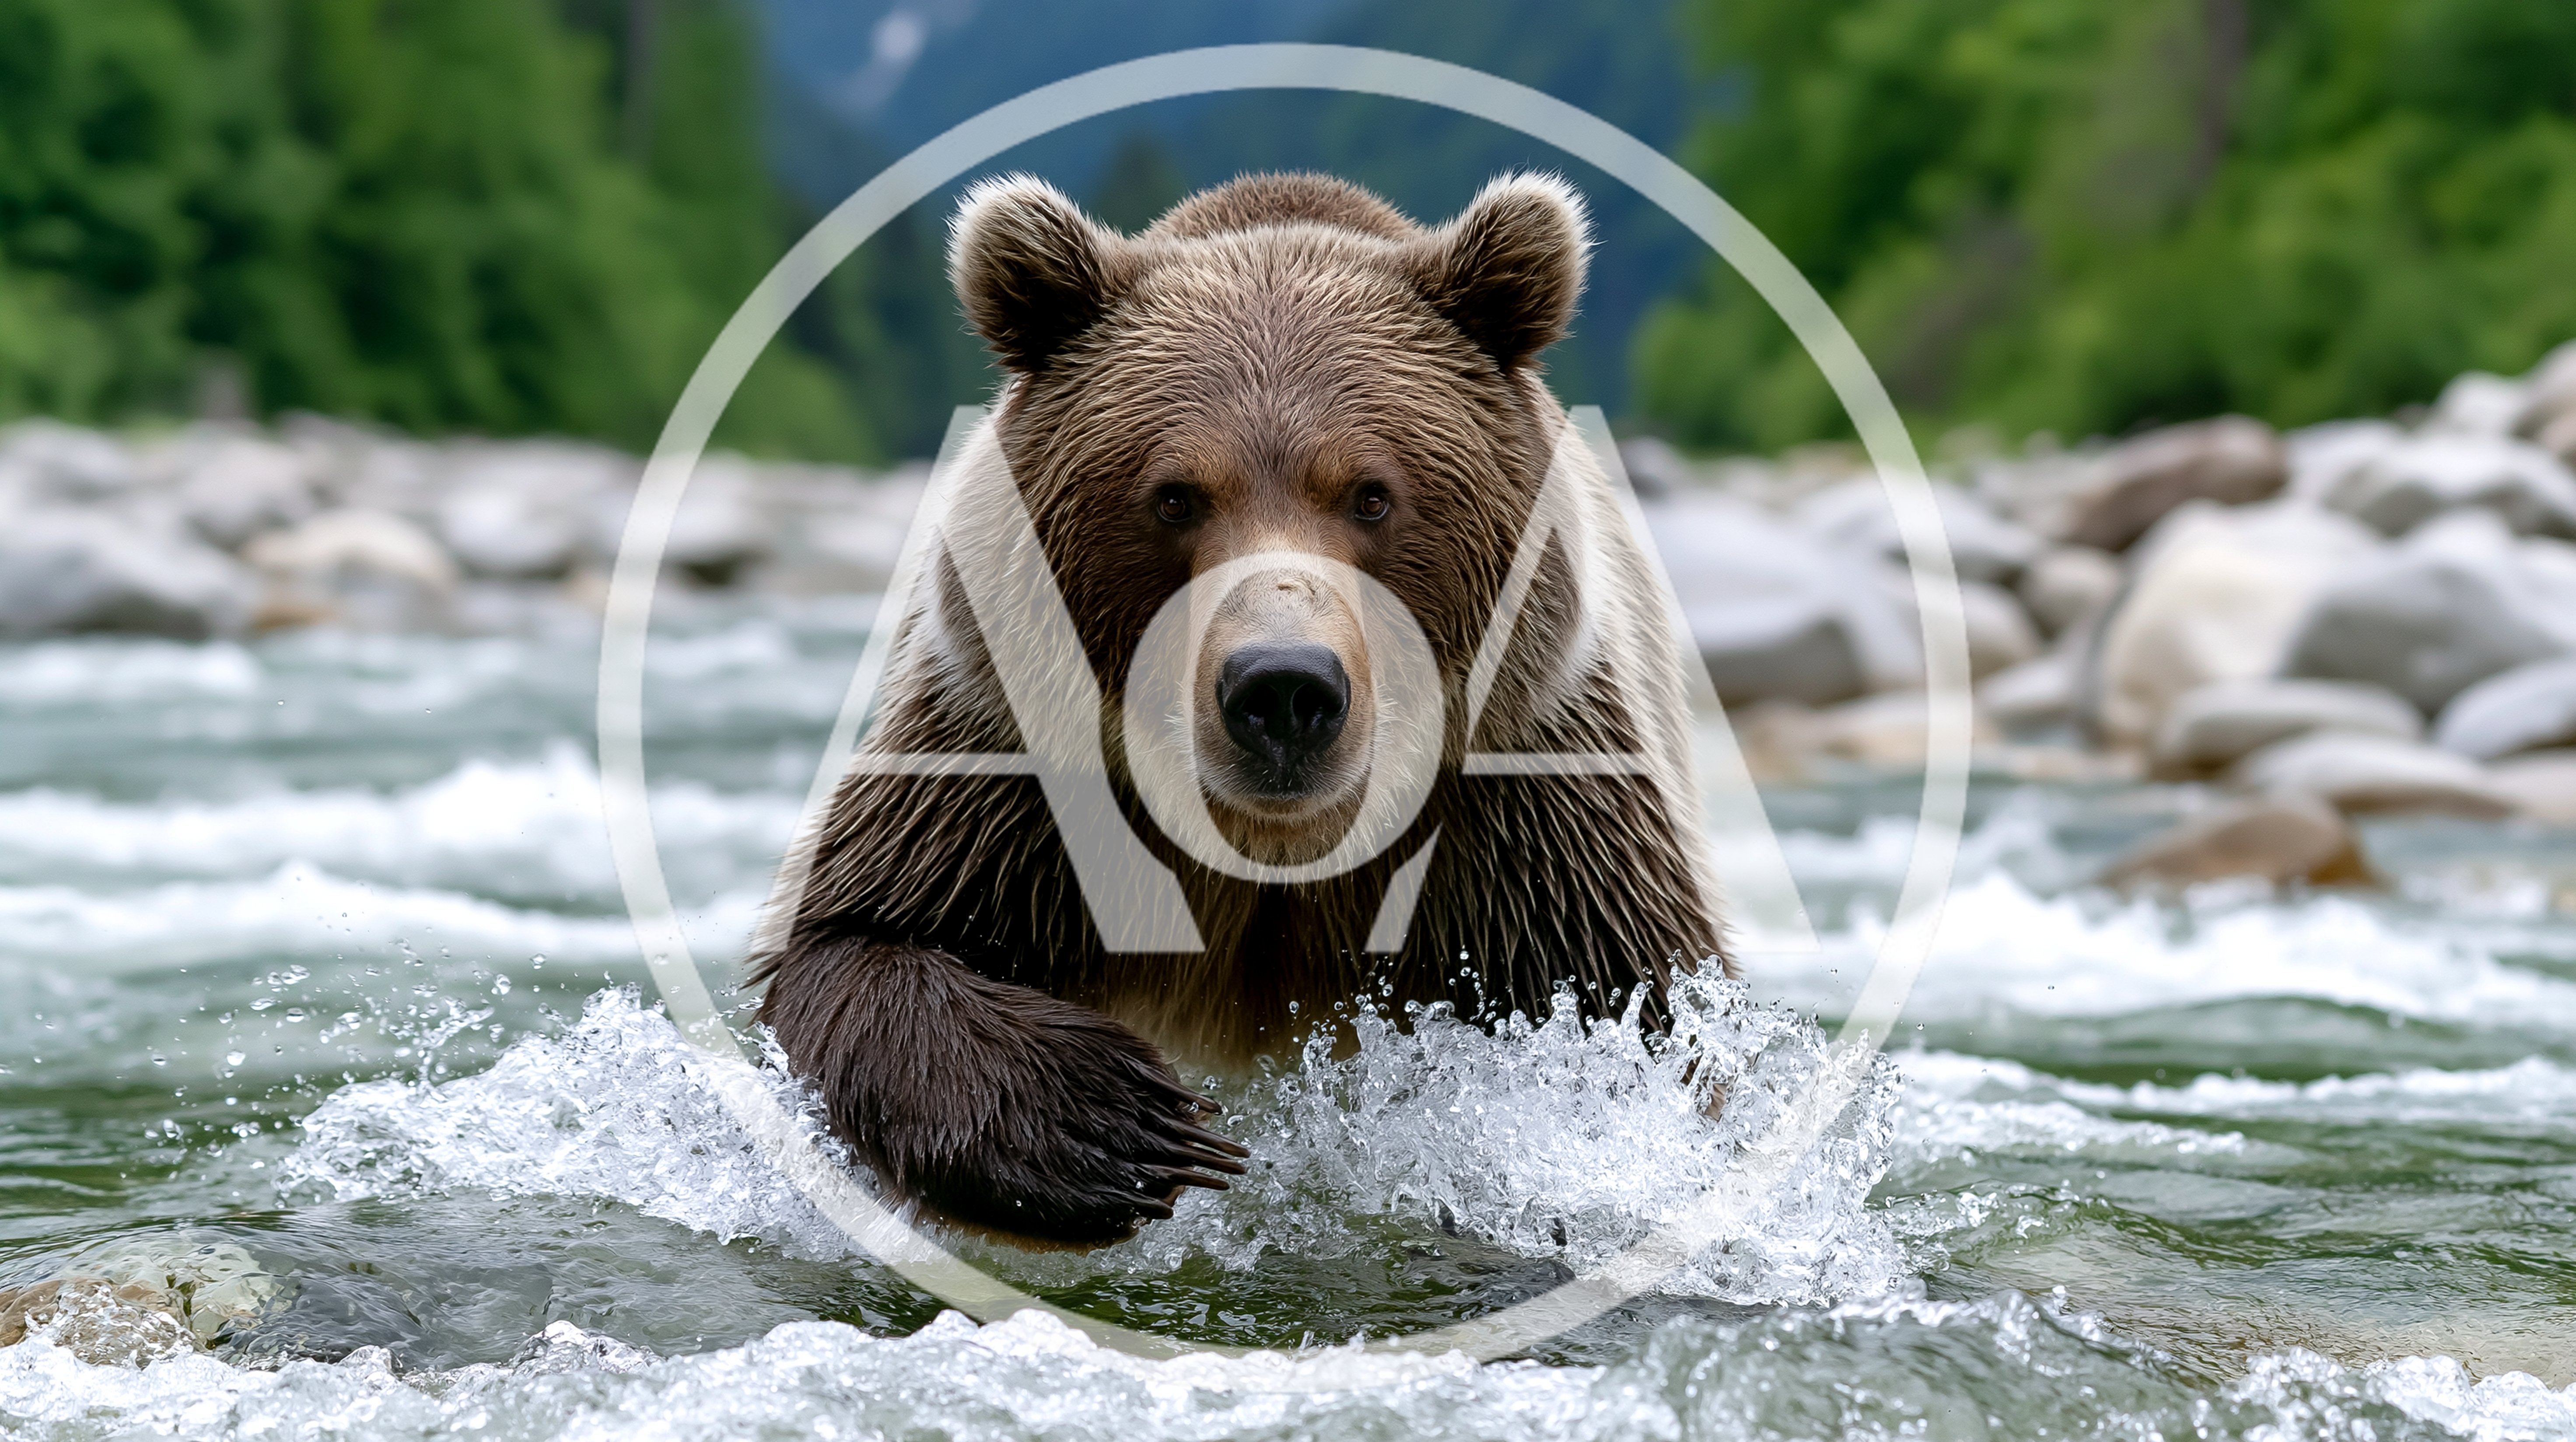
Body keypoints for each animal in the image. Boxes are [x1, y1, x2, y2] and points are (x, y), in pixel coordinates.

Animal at [753, 171, 1730, 1246]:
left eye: (1371, 493)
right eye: (1175, 495)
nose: (1282, 687)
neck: (1273, 853)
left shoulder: (1522, 804)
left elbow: (1635, 1011)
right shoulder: (1013, 770)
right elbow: (855, 941)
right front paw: (1128, 1124)